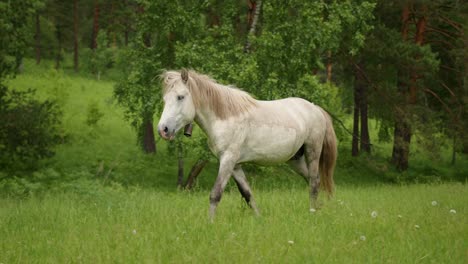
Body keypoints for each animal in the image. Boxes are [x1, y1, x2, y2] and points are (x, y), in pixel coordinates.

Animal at [157, 69, 336, 220]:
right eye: (165, 99)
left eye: (180, 97)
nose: (163, 130)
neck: (225, 116)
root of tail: (315, 108)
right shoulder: (235, 165)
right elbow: (247, 193)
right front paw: (259, 219)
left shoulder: (227, 160)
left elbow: (216, 194)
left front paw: (210, 223)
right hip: (295, 159)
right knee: (312, 180)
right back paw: (317, 208)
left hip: (312, 152)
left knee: (314, 182)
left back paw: (312, 212)